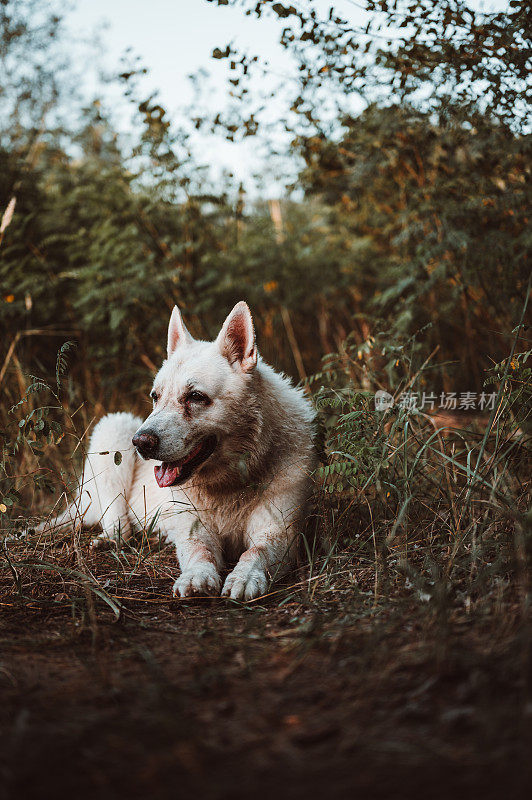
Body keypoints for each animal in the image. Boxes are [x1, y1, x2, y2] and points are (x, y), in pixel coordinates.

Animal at [47, 302, 316, 600]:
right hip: (115, 428)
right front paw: (197, 576)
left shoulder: (278, 532)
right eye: (155, 396)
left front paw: (245, 577)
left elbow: (255, 553)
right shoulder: (194, 530)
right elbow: (199, 552)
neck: (229, 483)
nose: (141, 442)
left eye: (195, 397)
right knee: (119, 527)